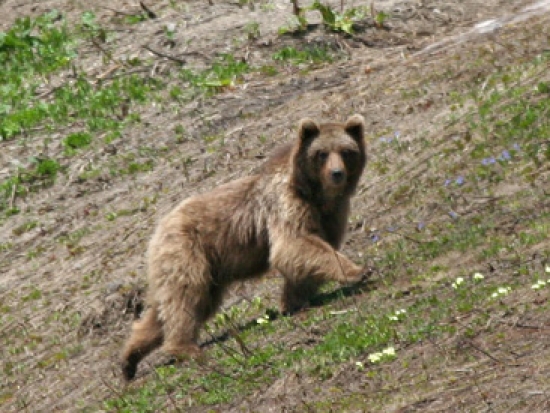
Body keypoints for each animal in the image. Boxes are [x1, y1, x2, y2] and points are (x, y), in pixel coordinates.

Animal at [123, 114, 368, 378]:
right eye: (321, 153)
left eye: (346, 151)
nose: (336, 173)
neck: (315, 196)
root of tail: (158, 229)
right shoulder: (287, 205)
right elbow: (296, 244)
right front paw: (358, 271)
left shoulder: (331, 214)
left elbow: (312, 253)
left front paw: (292, 300)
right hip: (186, 252)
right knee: (185, 298)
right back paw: (184, 348)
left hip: (199, 269)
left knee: (170, 307)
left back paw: (130, 358)